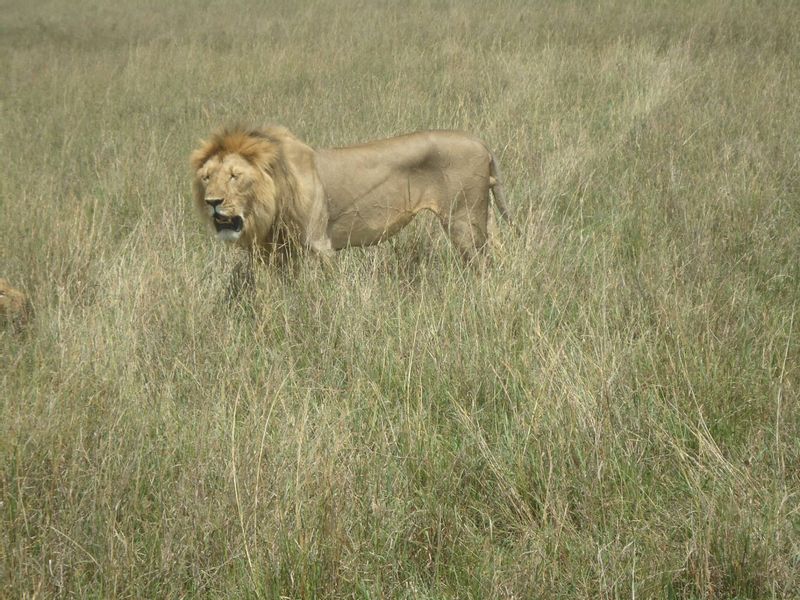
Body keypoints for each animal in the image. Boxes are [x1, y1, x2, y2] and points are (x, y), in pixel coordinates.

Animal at [189, 126, 512, 270]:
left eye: (235, 176)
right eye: (206, 177)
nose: (212, 202)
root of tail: (480, 141)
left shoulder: (320, 245)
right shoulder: (279, 253)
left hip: (463, 222)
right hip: (482, 217)